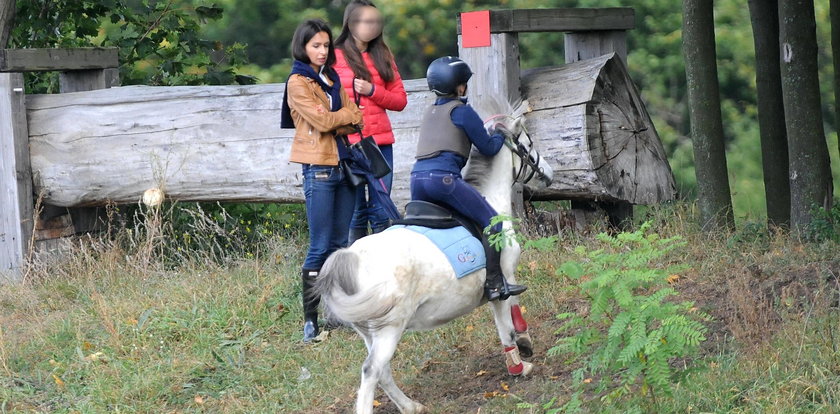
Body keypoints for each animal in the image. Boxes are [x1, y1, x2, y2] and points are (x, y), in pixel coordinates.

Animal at [314, 118, 552, 412]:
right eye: (528, 143)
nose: (548, 173)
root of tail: (350, 258)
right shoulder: (503, 278)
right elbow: (505, 325)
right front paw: (519, 365)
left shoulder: (508, 278)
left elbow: (515, 311)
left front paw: (525, 341)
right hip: (390, 329)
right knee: (371, 371)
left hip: (370, 332)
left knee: (382, 372)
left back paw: (410, 405)